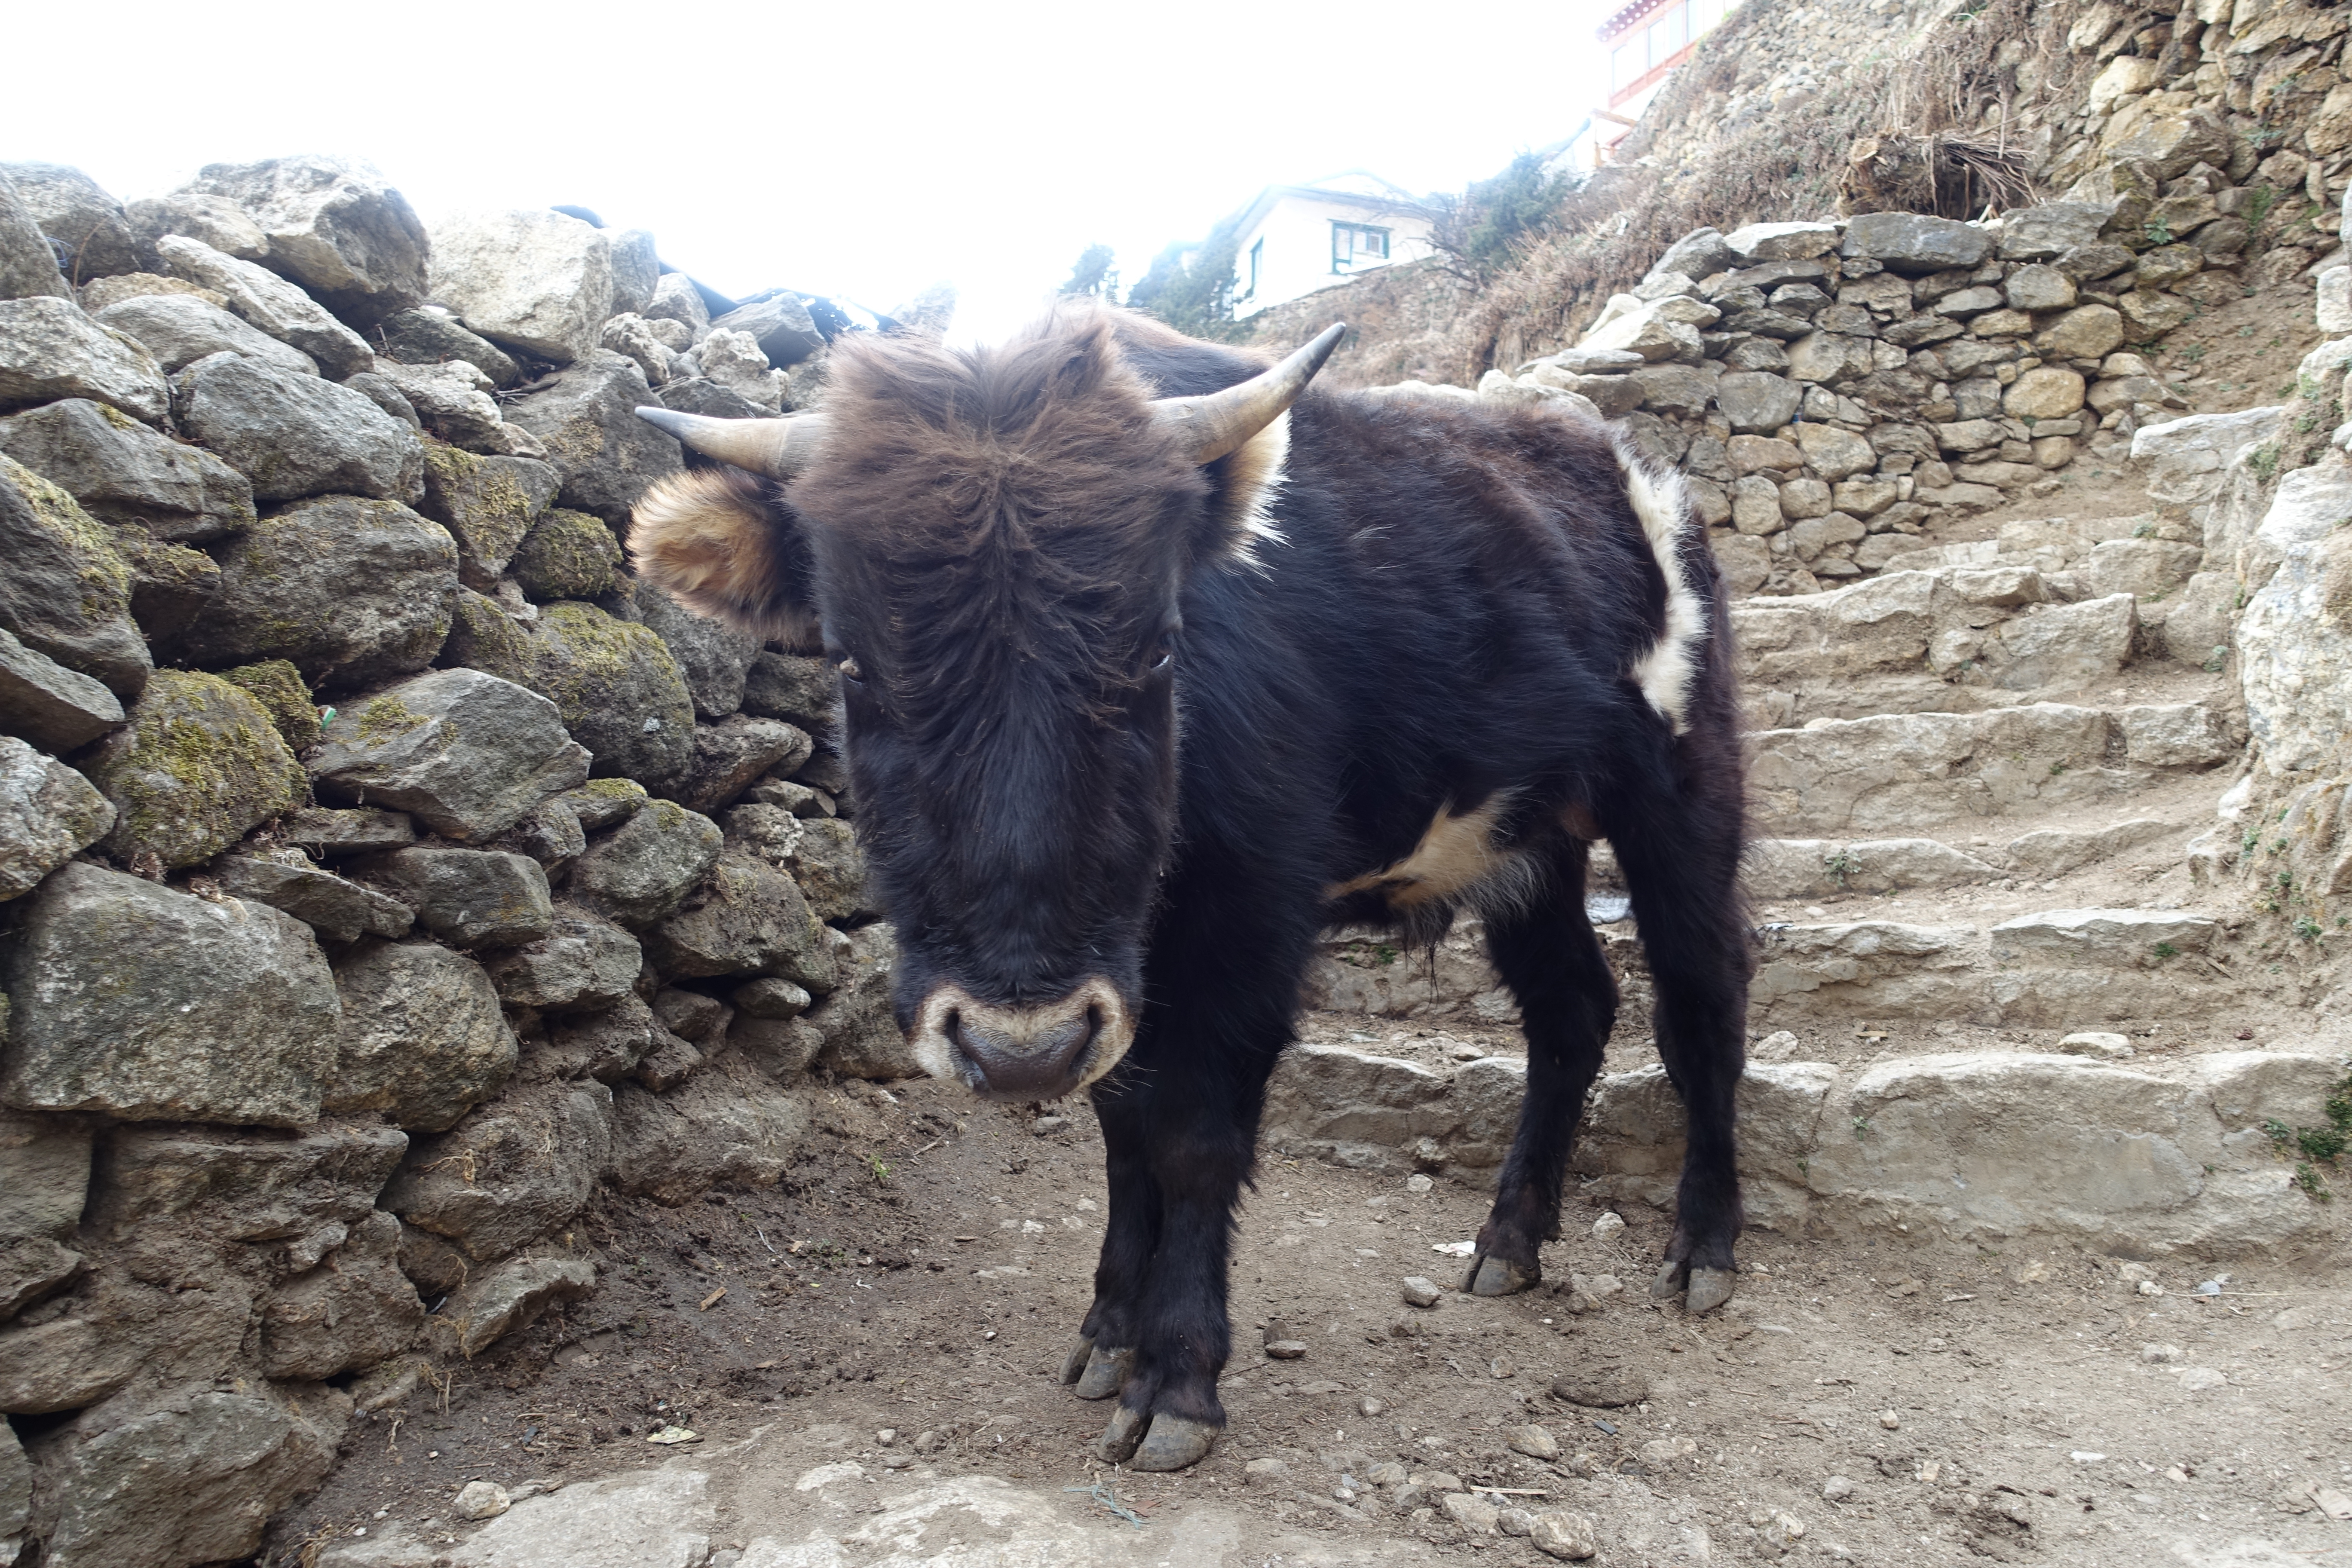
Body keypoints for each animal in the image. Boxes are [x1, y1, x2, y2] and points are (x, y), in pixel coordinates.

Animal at [625, 306, 1750, 1476]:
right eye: (851, 665)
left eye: (1159, 648)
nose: (1015, 1051)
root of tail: (1621, 465)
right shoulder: (1121, 975)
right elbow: (1123, 1132)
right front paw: (1109, 1333)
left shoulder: (1247, 926)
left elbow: (1193, 1138)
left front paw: (1175, 1379)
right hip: (1524, 843)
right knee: (1571, 1011)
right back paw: (1509, 1242)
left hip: (1681, 792)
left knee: (1699, 1001)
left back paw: (1704, 1248)